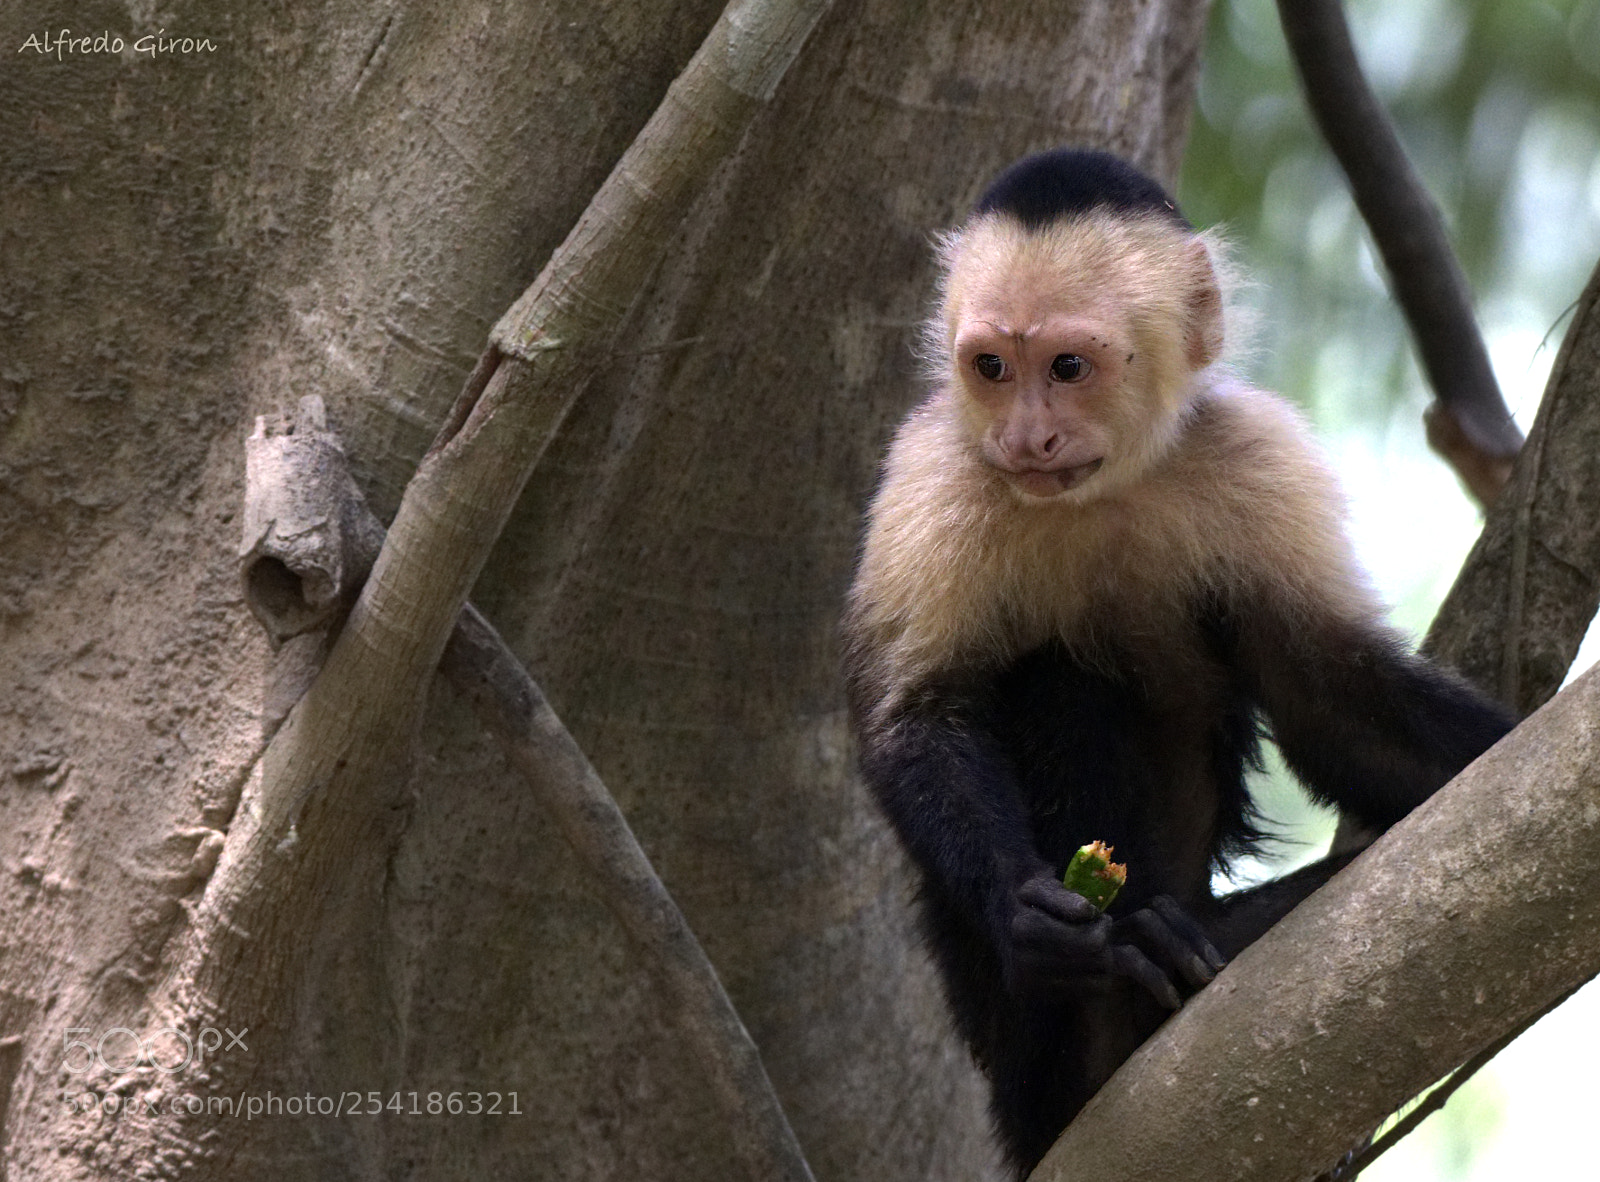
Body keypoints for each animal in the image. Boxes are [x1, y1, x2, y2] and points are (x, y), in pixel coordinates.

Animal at [841, 147, 1516, 1178]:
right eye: (991, 367)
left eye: (1067, 367)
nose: (1026, 437)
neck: (1102, 491)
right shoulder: (934, 471)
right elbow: (917, 713)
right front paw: (1025, 908)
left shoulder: (1261, 459)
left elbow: (1330, 699)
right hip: (1010, 1062)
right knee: (1062, 681)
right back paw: (1112, 989)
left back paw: (1205, 938)